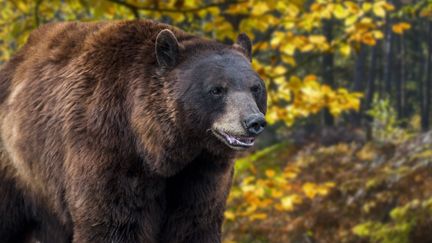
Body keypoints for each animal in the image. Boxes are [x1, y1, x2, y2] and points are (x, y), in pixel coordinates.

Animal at [0, 19, 266, 243]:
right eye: (217, 89)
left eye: (255, 88)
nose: (253, 121)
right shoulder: (107, 145)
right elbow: (113, 221)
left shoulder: (202, 173)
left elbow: (194, 223)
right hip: (19, 169)